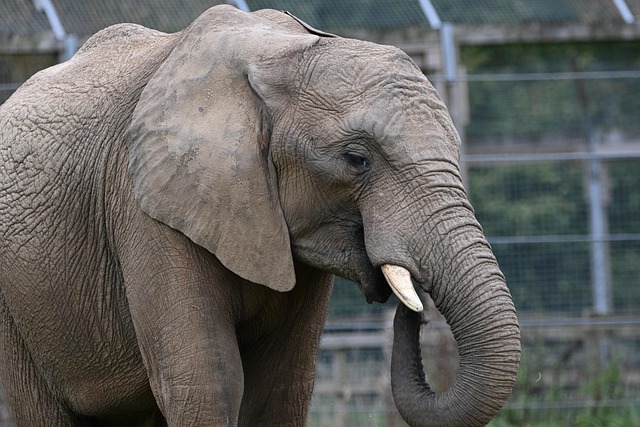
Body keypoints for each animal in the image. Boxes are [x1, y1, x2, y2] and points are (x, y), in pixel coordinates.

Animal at [0, 5, 520, 427]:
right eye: (357, 160)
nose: (415, 306)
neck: (281, 56)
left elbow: (280, 387)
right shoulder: (146, 206)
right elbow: (208, 381)